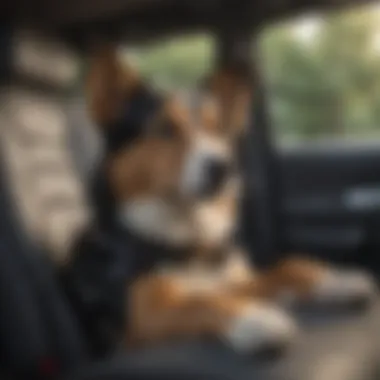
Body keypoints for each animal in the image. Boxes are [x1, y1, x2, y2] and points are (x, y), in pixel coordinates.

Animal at [67, 43, 374, 354]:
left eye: (217, 129)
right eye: (164, 128)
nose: (224, 167)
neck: (188, 240)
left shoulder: (230, 281)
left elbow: (286, 268)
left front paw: (334, 280)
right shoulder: (144, 312)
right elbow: (200, 301)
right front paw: (254, 318)